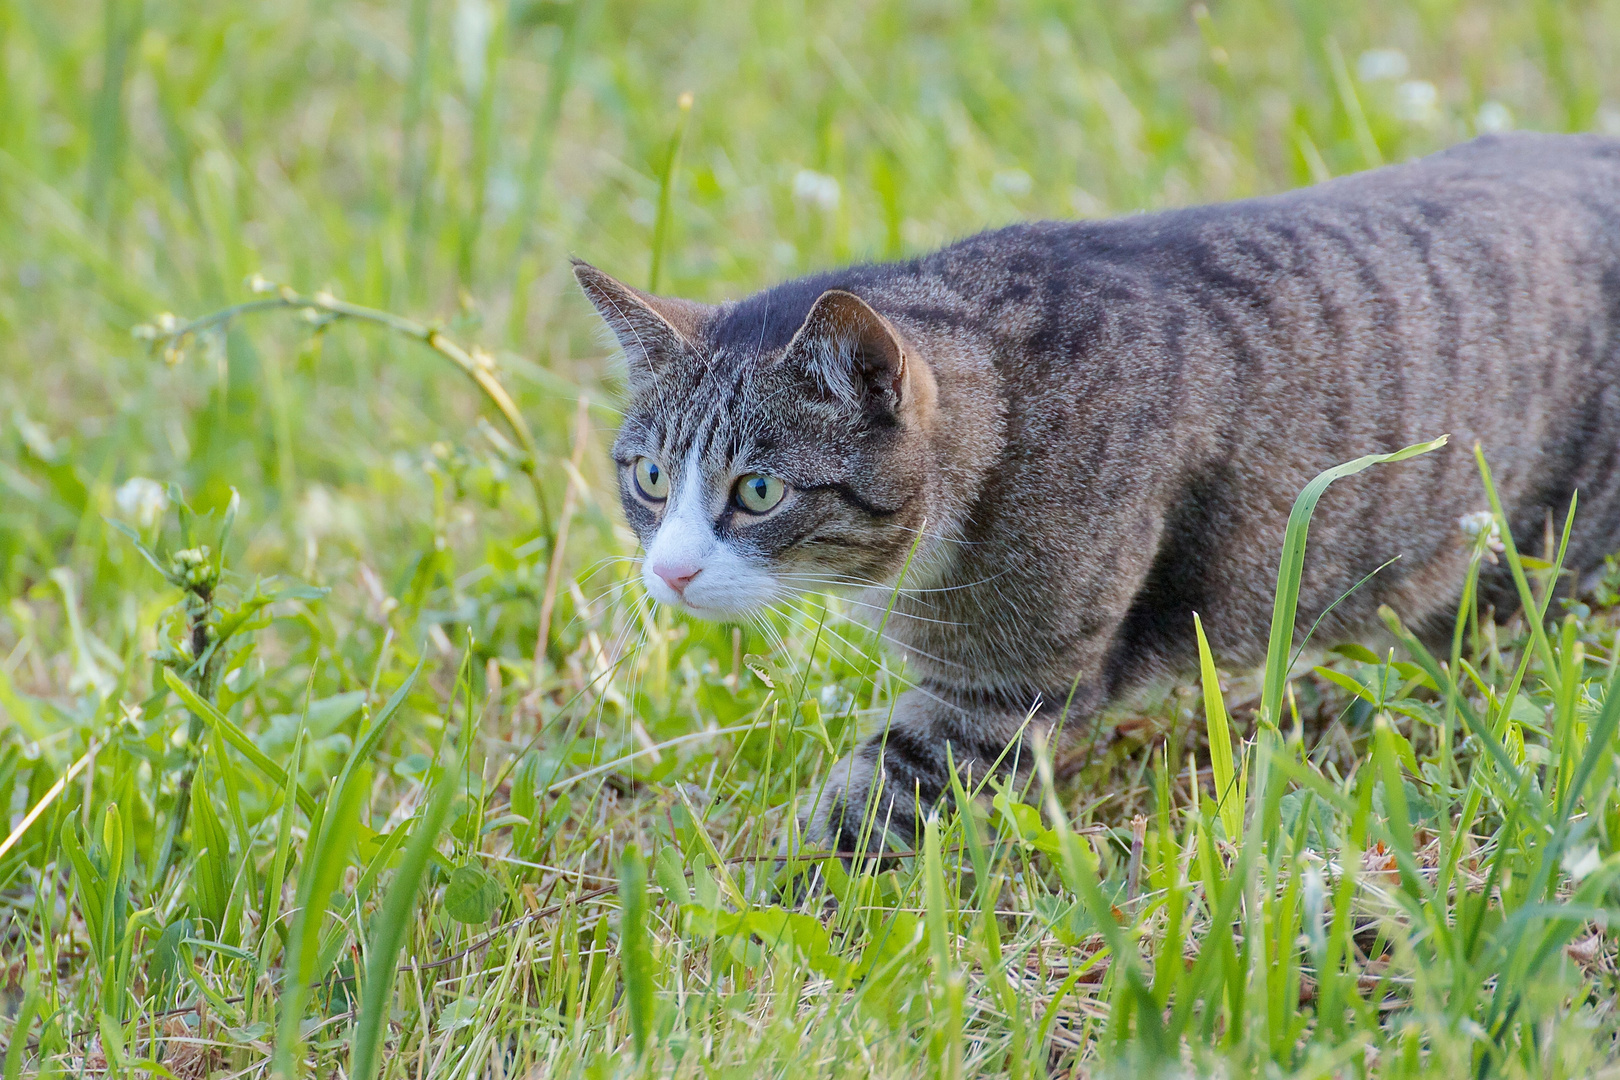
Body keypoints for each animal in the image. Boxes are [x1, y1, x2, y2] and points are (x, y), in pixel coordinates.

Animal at [576, 132, 1620, 854]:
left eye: (758, 490)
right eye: (651, 478)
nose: (669, 574)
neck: (1006, 412)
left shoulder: (997, 696)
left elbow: (867, 814)